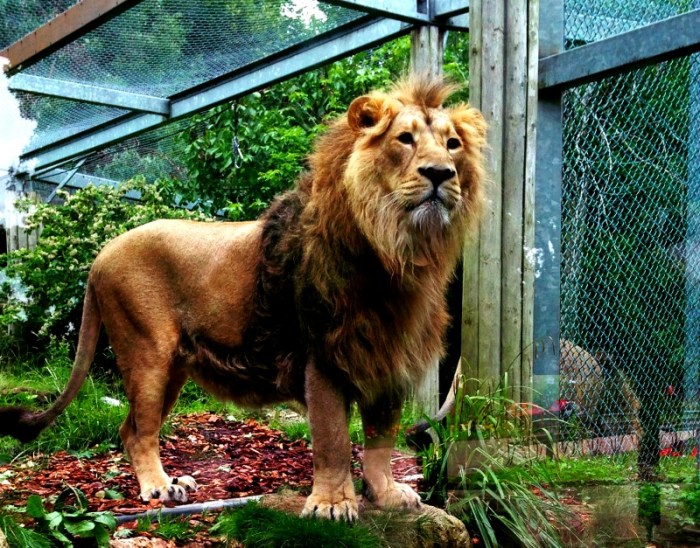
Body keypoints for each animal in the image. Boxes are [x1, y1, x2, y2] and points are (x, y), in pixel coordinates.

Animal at [0, 77, 487, 521]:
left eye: (453, 145)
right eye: (405, 139)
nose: (441, 174)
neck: (397, 254)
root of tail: (101, 254)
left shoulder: (387, 357)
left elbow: (382, 438)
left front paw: (386, 495)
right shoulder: (322, 355)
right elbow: (333, 438)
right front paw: (331, 504)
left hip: (174, 368)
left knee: (130, 425)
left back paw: (173, 483)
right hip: (147, 354)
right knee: (140, 431)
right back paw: (159, 487)